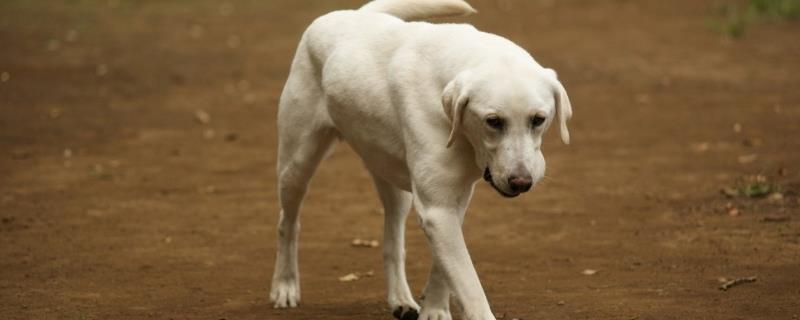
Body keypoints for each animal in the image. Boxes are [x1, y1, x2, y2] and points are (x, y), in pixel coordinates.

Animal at [272, 0, 572, 318]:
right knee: (288, 223)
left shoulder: (452, 202)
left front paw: (435, 307)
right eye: (493, 121)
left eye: (538, 119)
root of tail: (353, 14)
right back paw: (285, 286)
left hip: (389, 175)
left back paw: (400, 299)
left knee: (392, 241)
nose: (521, 182)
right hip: (296, 164)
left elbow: (444, 268)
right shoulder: (438, 209)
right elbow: (468, 283)